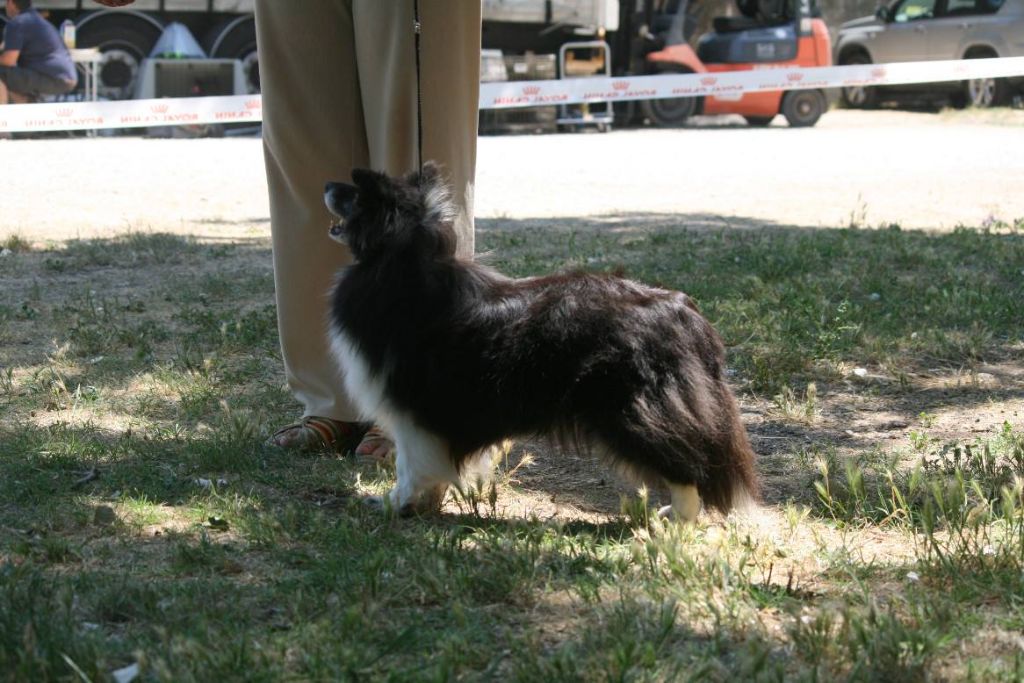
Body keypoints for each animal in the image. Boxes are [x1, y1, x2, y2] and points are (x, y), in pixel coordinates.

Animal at [323, 163, 757, 518]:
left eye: (355, 194)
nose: (326, 183)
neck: (403, 260)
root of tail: (682, 310)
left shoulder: (412, 411)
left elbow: (409, 465)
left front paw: (392, 503)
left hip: (632, 409)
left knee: (687, 463)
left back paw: (676, 519)